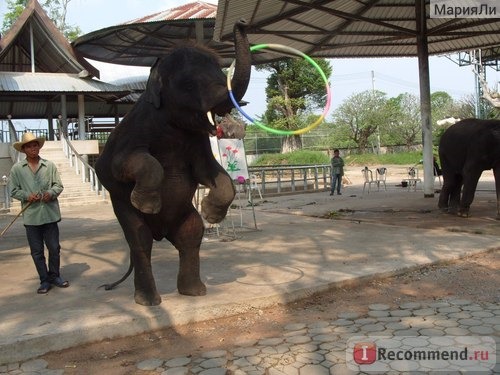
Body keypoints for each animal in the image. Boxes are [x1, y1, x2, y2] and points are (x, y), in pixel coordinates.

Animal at [94, 20, 252, 306]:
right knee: (140, 239)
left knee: (191, 235)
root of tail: (162, 232)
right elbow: (117, 167)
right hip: (124, 210)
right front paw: (147, 204)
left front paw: (212, 214)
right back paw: (148, 300)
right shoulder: (132, 133)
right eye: (189, 85)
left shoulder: (198, 142)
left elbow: (212, 173)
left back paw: (194, 291)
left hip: (184, 215)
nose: (242, 22)